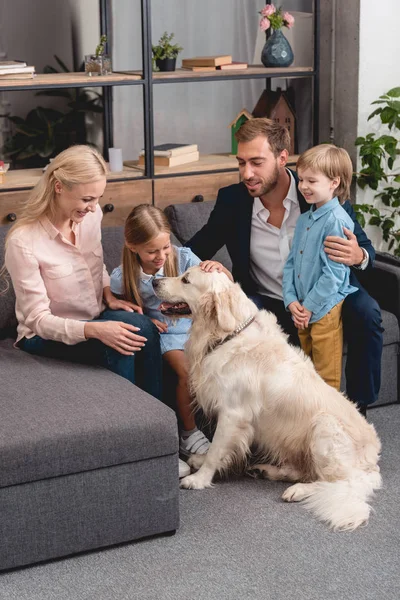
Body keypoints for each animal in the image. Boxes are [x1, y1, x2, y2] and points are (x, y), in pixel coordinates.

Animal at [152, 268, 382, 528]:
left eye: (186, 280)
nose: (154, 281)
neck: (228, 334)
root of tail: (372, 464)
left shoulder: (233, 414)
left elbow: (216, 450)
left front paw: (200, 478)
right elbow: (215, 450)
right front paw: (200, 462)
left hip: (324, 426)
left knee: (337, 482)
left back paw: (298, 490)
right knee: (305, 471)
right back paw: (266, 471)